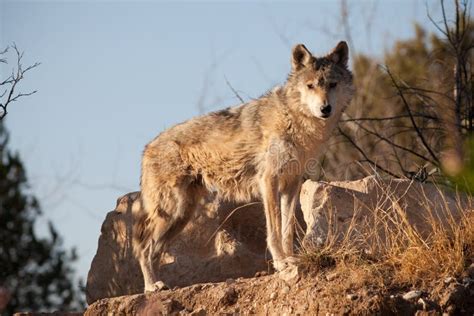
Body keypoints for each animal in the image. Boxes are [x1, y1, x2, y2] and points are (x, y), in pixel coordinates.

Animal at [132, 41, 352, 292]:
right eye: (311, 86)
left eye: (332, 84)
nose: (325, 108)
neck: (294, 120)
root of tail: (147, 147)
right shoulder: (268, 181)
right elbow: (274, 230)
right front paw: (280, 262)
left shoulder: (291, 183)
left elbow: (287, 229)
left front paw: (291, 259)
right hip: (171, 211)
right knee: (143, 248)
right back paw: (152, 286)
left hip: (181, 215)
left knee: (153, 251)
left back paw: (158, 285)